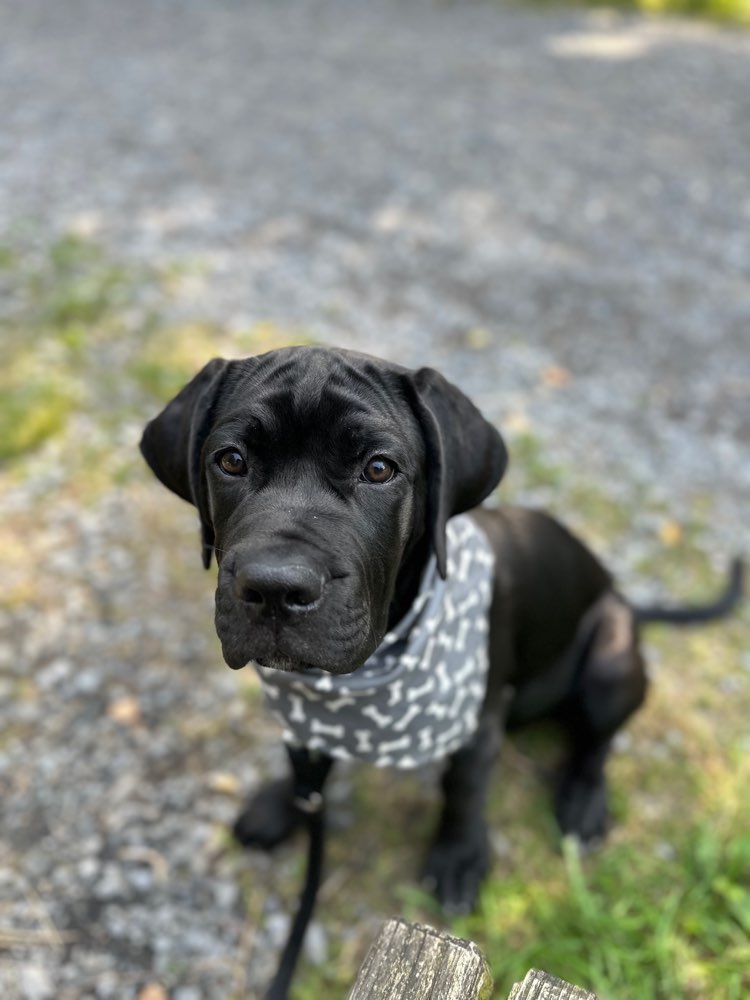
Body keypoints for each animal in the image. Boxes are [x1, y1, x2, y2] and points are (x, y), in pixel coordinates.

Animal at [142, 344, 748, 916]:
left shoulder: (479, 720)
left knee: (597, 741)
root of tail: (623, 597)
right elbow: (303, 759)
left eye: (379, 469)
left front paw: (459, 858)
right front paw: (282, 804)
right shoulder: (301, 709)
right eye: (231, 460)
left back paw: (584, 800)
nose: (273, 588)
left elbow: (464, 790)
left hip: (611, 661)